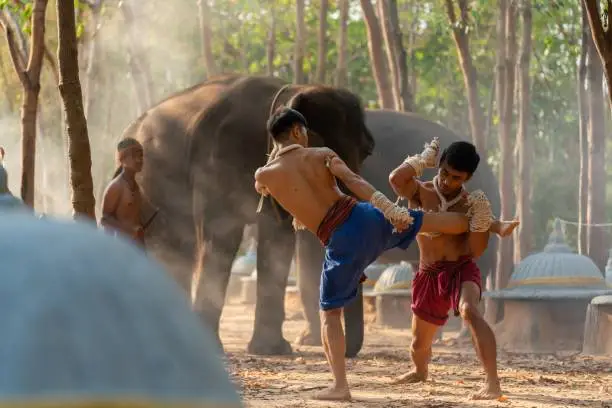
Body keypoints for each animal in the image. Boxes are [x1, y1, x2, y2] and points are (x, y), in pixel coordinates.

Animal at [120, 75, 376, 356]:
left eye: (367, 152)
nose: (346, 351)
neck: (286, 93)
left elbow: (277, 239)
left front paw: (271, 350)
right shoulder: (219, 159)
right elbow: (222, 234)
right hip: (149, 188)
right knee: (169, 247)